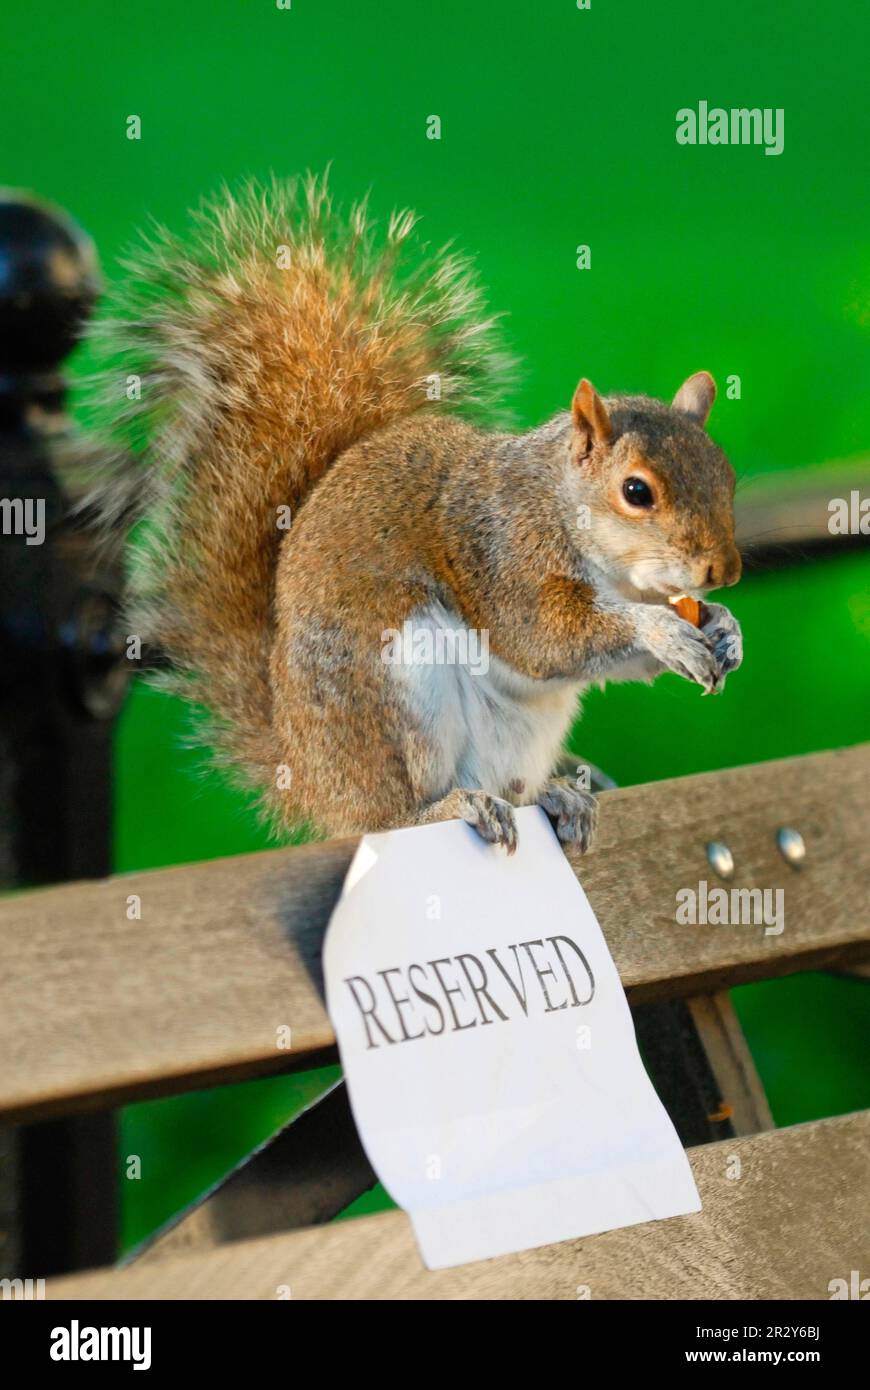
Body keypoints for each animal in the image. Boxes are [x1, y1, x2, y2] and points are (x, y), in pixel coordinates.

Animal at [79, 170, 739, 845]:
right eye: (637, 491)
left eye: (728, 475)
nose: (724, 572)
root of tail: (307, 778)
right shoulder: (501, 554)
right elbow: (543, 637)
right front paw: (662, 630)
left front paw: (723, 628)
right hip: (396, 692)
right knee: (388, 816)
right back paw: (449, 807)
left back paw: (558, 793)